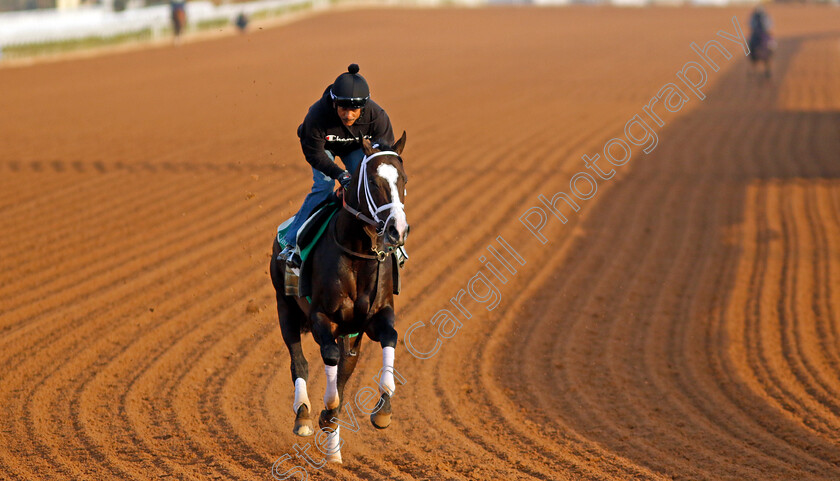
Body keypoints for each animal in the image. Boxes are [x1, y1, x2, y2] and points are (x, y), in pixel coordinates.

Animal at [270, 132, 410, 462]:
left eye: (404, 179)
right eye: (373, 182)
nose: (397, 230)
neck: (358, 253)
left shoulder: (375, 317)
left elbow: (390, 337)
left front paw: (383, 409)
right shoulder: (320, 316)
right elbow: (328, 359)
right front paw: (325, 410)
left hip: (351, 334)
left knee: (345, 371)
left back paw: (334, 453)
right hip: (285, 308)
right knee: (300, 362)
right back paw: (305, 416)